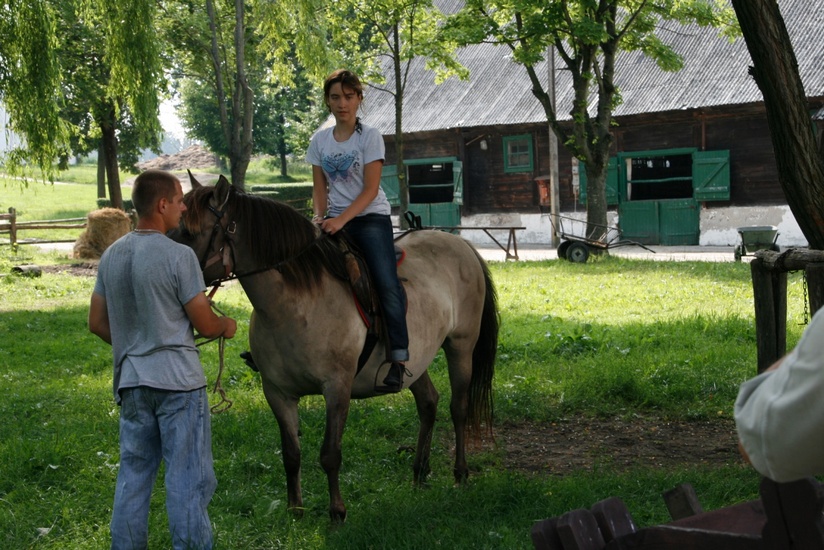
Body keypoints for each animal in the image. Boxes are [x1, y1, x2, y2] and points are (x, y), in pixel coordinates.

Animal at [172, 176, 496, 520]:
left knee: (458, 408)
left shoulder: (337, 388)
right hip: (415, 360)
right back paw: (419, 473)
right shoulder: (277, 393)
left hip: (461, 346)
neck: (295, 305)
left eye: (189, 232)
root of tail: (462, 245)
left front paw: (337, 512)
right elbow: (291, 454)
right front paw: (295, 510)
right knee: (428, 403)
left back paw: (460, 473)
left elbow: (330, 454)